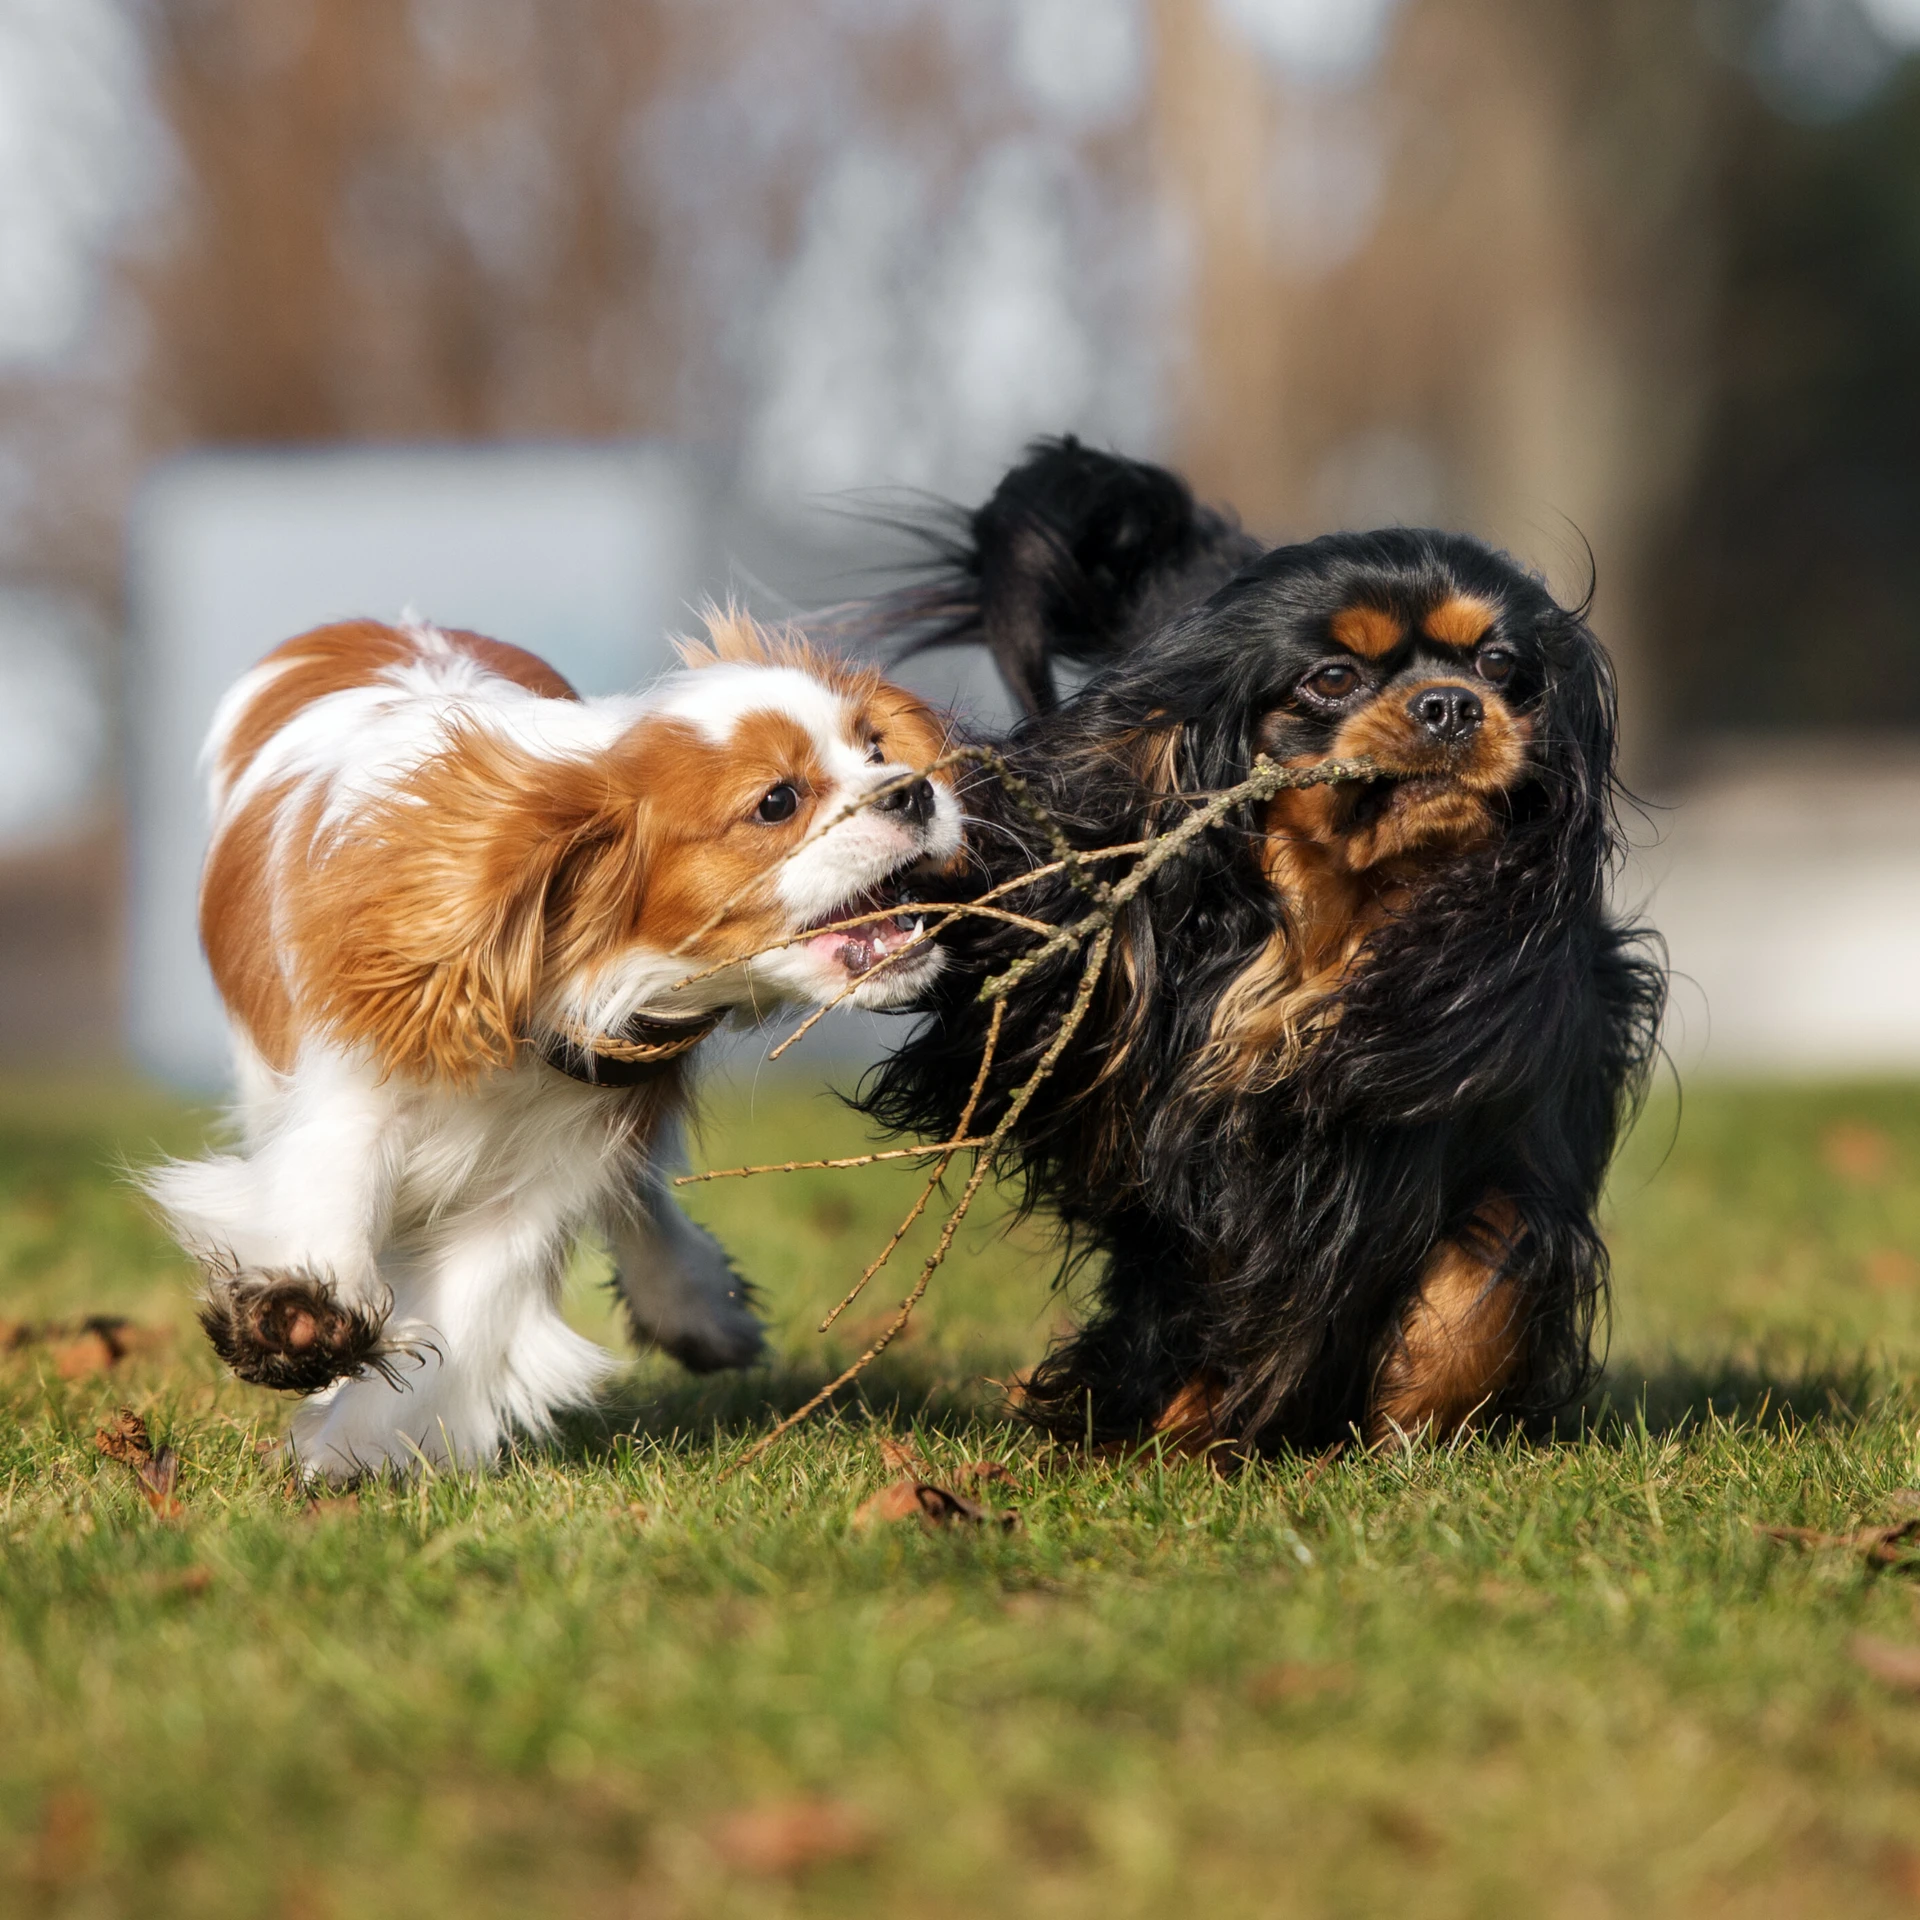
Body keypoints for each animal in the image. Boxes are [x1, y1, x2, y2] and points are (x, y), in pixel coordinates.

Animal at [149, 606, 960, 1474]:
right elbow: (328, 1190)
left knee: (640, 1194)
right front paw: (302, 1318)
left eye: (874, 750)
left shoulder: (556, 1159)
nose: (913, 789)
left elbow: (470, 1304)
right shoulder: (352, 1085)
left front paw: (360, 1449)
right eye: (778, 801)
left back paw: (691, 1304)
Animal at [860, 439, 1666, 1451]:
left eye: (1498, 662)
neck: (1334, 927)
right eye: (1332, 679)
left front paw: (1412, 1423)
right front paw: (1178, 1428)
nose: (1451, 704)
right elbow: (1211, 1292)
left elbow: (1482, 1284)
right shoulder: (1181, 1151)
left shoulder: (1514, 1114)